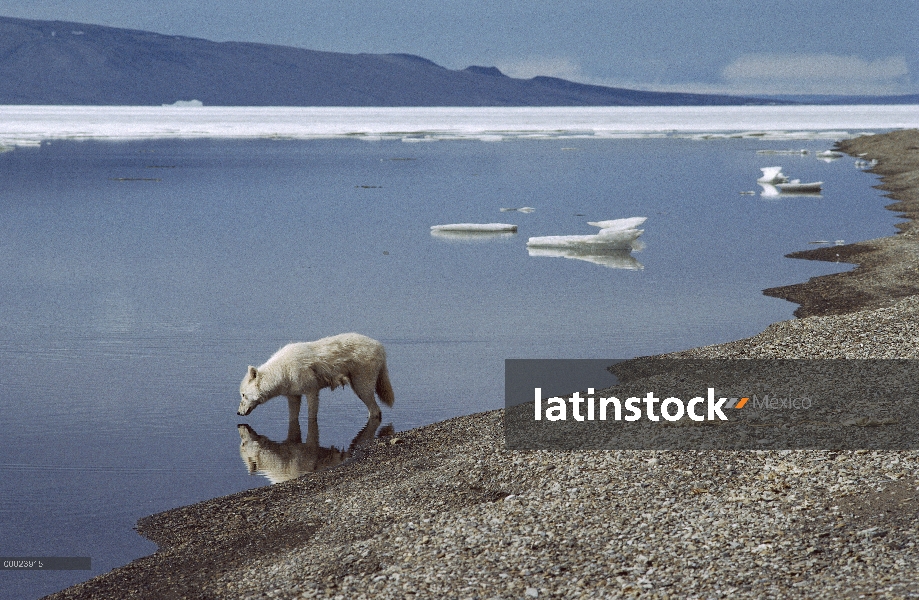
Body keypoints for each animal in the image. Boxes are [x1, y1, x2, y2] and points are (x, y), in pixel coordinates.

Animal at [237, 332, 396, 422]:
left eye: (243, 395)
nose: (238, 413)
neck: (282, 371)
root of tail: (380, 346)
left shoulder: (312, 392)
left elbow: (311, 416)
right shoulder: (293, 397)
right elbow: (293, 418)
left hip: (361, 388)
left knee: (375, 411)